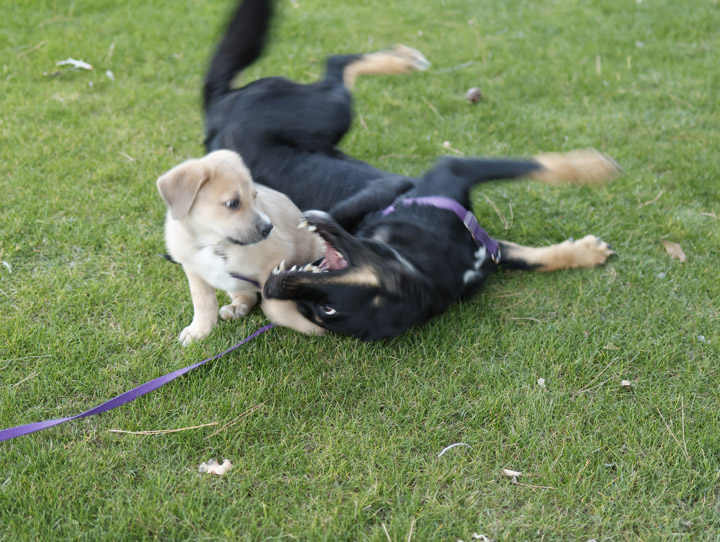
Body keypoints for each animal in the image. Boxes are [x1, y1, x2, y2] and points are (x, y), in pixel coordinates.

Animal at [160, 150, 326, 344]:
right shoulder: (194, 270)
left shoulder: (274, 263)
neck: (215, 244)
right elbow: (203, 301)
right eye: (233, 203)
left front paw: (308, 325)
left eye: (255, 196)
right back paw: (236, 307)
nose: (268, 228)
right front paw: (199, 331)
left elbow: (274, 305)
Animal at [201, 0, 620, 340]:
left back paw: (400, 58)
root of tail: (218, 106)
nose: (271, 287)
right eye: (322, 311)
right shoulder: (456, 190)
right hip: (323, 112)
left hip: (323, 115)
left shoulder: (452, 179)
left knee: (337, 63)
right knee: (337, 69)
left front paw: (590, 175)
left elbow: (534, 178)